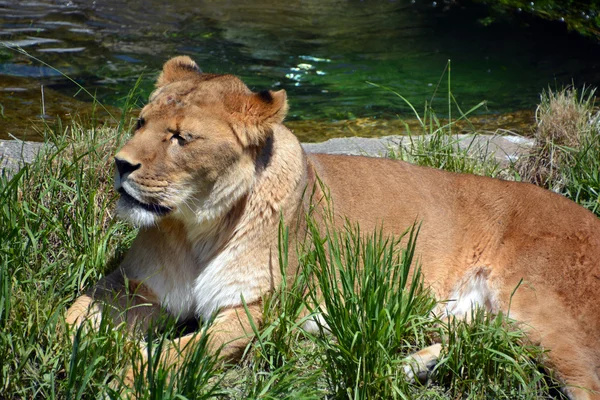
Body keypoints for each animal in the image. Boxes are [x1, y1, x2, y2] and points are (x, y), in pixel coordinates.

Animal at [65, 55, 600, 396]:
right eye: (140, 122)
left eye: (179, 137)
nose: (120, 165)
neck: (197, 226)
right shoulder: (135, 286)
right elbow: (72, 316)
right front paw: (66, 352)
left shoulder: (258, 309)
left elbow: (175, 356)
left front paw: (121, 377)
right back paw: (414, 367)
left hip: (540, 309)